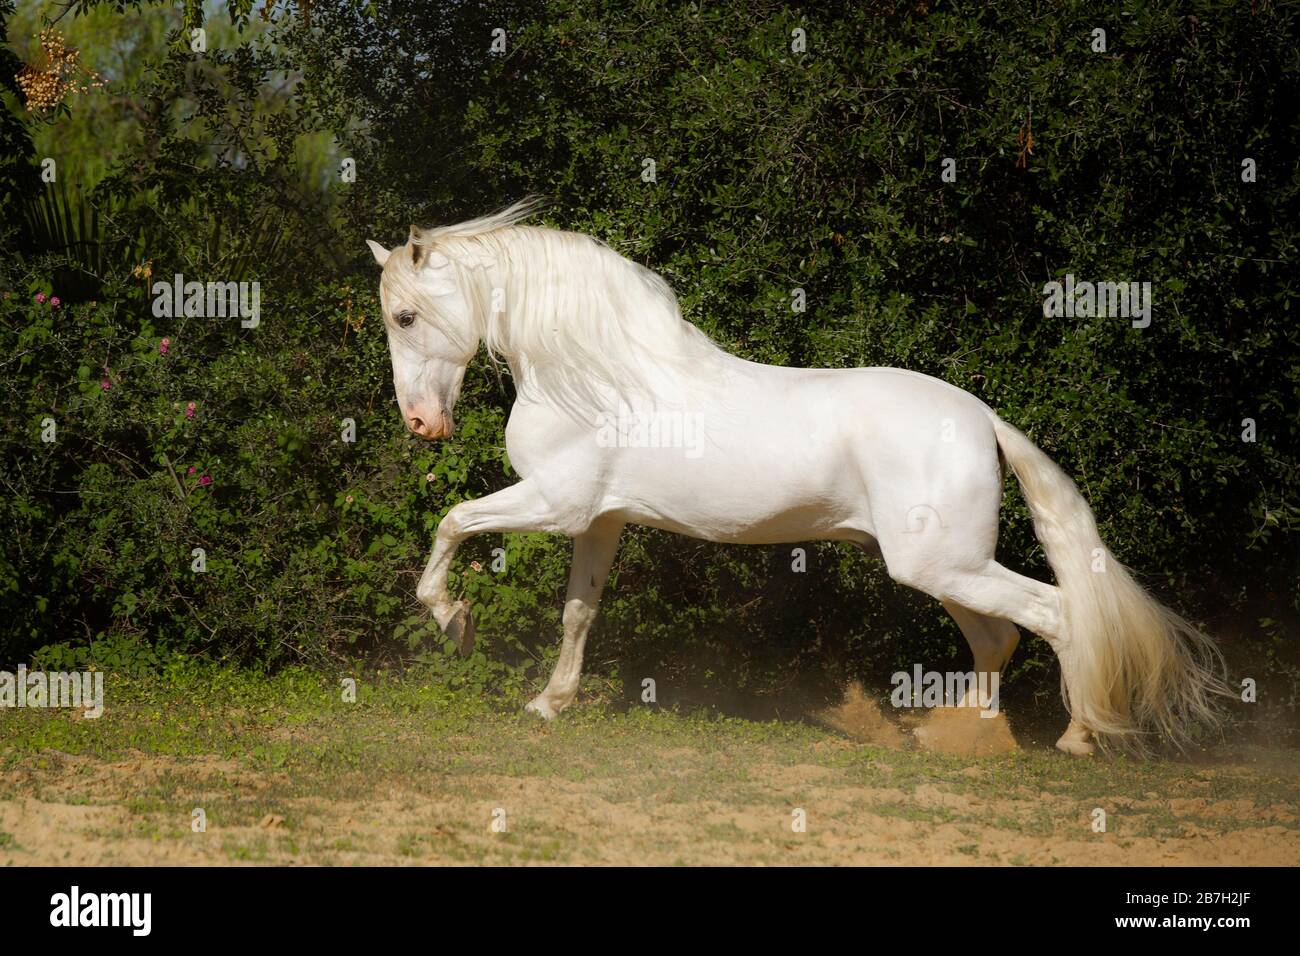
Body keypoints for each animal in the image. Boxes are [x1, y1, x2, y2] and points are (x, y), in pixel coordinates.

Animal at [369, 201, 1227, 754]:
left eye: (405, 317)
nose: (420, 424)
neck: (599, 375)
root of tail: (982, 417)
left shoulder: (553, 503)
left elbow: (452, 519)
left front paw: (452, 620)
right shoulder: (600, 520)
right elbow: (579, 613)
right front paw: (550, 703)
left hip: (941, 564)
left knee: (1054, 614)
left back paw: (1077, 738)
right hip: (946, 566)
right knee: (999, 634)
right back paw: (963, 738)